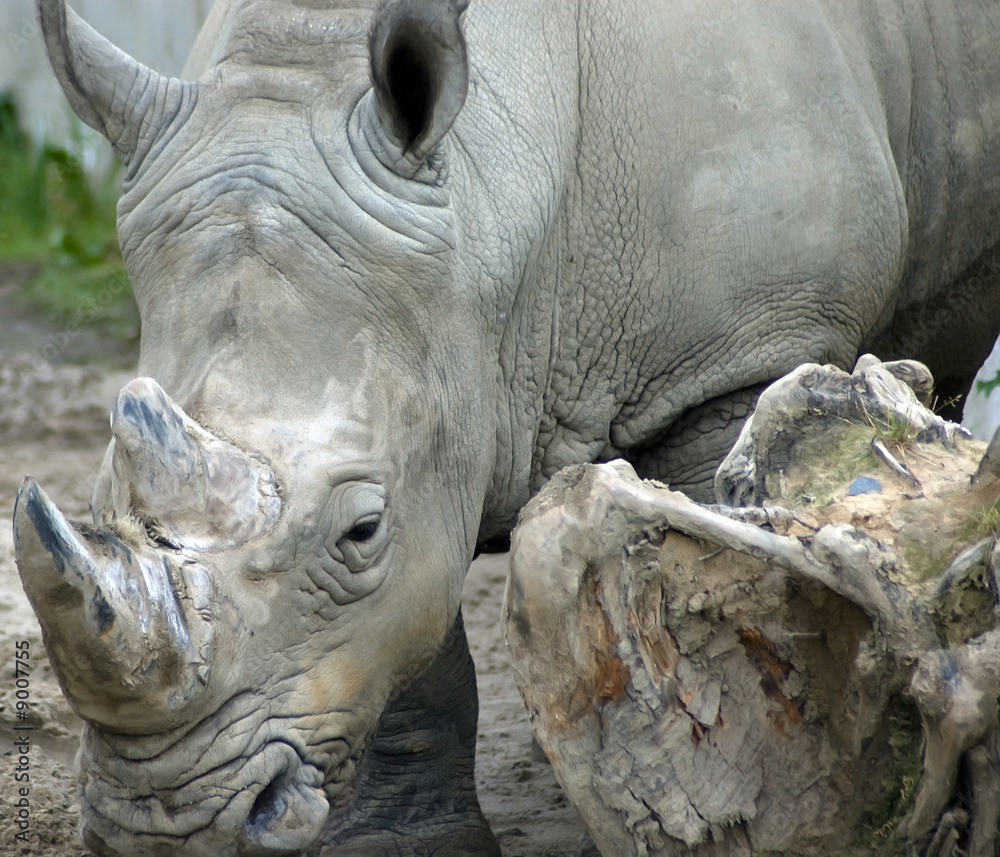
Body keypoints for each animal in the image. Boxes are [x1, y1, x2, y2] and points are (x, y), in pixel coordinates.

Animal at [12, 0, 1000, 854]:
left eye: (360, 530)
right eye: (98, 502)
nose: (161, 823)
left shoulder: (733, 357)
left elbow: (729, 592)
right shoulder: (436, 375)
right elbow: (416, 641)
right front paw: (407, 845)